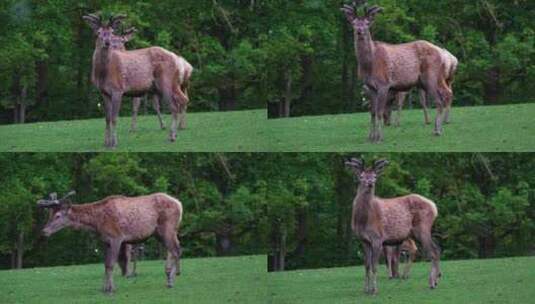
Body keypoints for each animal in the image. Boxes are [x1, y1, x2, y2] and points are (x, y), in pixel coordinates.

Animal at [37, 191, 184, 294]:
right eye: (49, 215)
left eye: (58, 216)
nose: (44, 231)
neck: (97, 223)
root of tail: (179, 204)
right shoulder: (105, 241)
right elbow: (106, 265)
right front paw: (104, 288)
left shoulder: (116, 238)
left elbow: (111, 264)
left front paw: (111, 289)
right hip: (159, 233)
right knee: (174, 249)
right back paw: (170, 275)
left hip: (167, 227)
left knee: (175, 250)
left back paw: (171, 280)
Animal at [82, 13, 194, 149]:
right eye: (98, 32)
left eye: (112, 32)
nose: (107, 42)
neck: (103, 73)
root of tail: (176, 58)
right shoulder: (104, 92)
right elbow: (107, 118)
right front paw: (106, 143)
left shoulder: (118, 89)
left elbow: (114, 117)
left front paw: (114, 143)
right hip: (173, 84)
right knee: (183, 99)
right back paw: (175, 133)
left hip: (165, 82)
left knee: (174, 106)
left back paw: (172, 136)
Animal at [346, 0, 458, 143]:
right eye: (354, 23)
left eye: (367, 23)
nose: (359, 31)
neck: (369, 65)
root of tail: (441, 53)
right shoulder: (370, 86)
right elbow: (372, 112)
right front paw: (370, 137)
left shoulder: (384, 84)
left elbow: (379, 111)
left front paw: (379, 138)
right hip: (435, 80)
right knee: (446, 94)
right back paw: (439, 128)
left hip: (431, 77)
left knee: (439, 100)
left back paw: (437, 130)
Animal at [346, 158, 442, 296]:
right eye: (361, 176)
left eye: (375, 176)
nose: (370, 183)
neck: (363, 221)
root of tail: (434, 206)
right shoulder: (363, 240)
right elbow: (367, 266)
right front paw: (365, 289)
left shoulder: (377, 238)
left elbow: (374, 266)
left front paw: (374, 290)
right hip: (416, 233)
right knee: (437, 249)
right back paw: (436, 280)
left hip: (422, 228)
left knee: (433, 251)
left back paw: (432, 283)